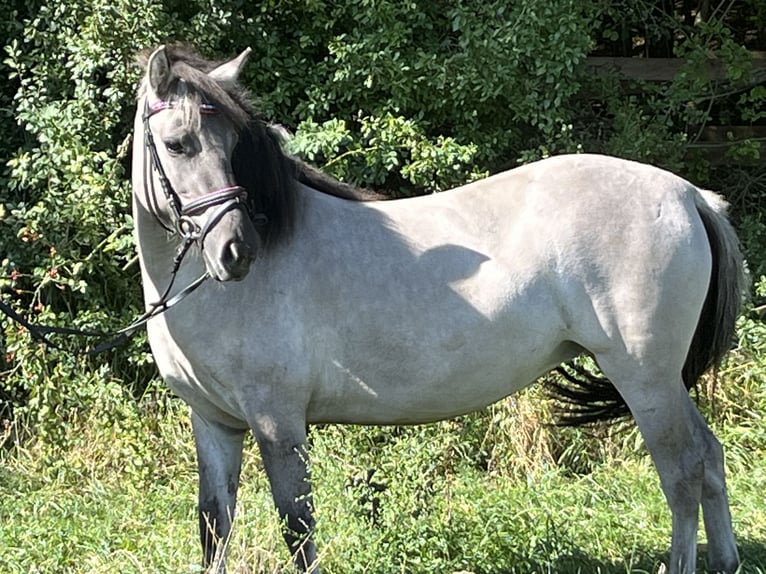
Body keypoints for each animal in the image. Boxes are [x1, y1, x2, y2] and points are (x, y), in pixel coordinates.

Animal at [130, 46, 744, 574]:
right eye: (178, 144)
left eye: (234, 144)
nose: (236, 251)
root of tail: (690, 195)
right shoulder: (214, 424)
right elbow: (214, 527)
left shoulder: (277, 421)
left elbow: (297, 527)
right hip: (662, 381)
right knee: (710, 458)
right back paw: (727, 561)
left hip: (646, 378)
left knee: (683, 470)